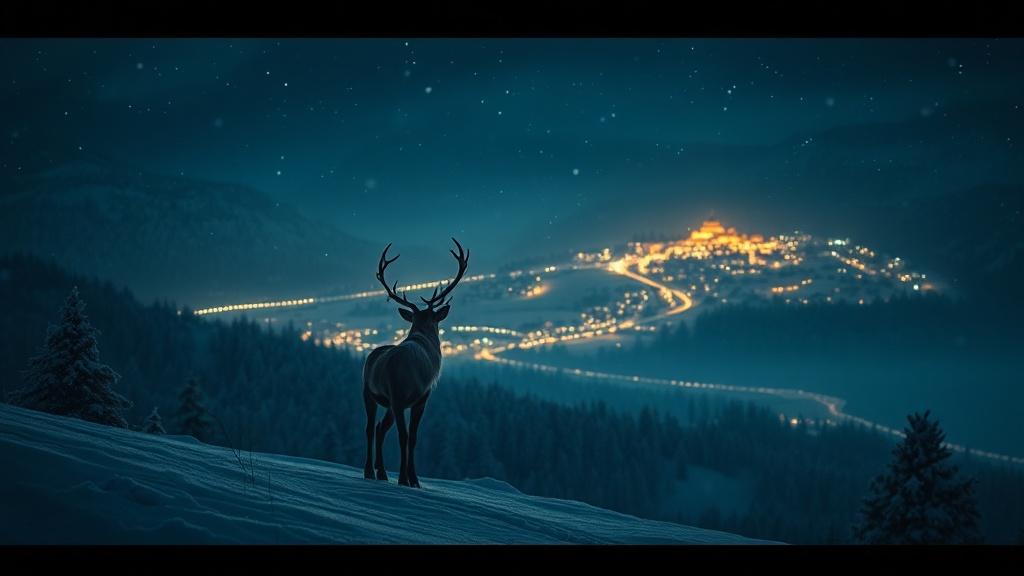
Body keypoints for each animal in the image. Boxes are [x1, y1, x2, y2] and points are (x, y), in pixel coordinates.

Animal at [362, 238, 469, 488]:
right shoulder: (418, 397)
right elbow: (408, 437)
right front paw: (408, 479)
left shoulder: (410, 400)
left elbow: (411, 438)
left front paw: (411, 479)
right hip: (378, 394)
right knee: (372, 428)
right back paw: (371, 471)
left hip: (384, 399)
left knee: (380, 428)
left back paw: (381, 473)